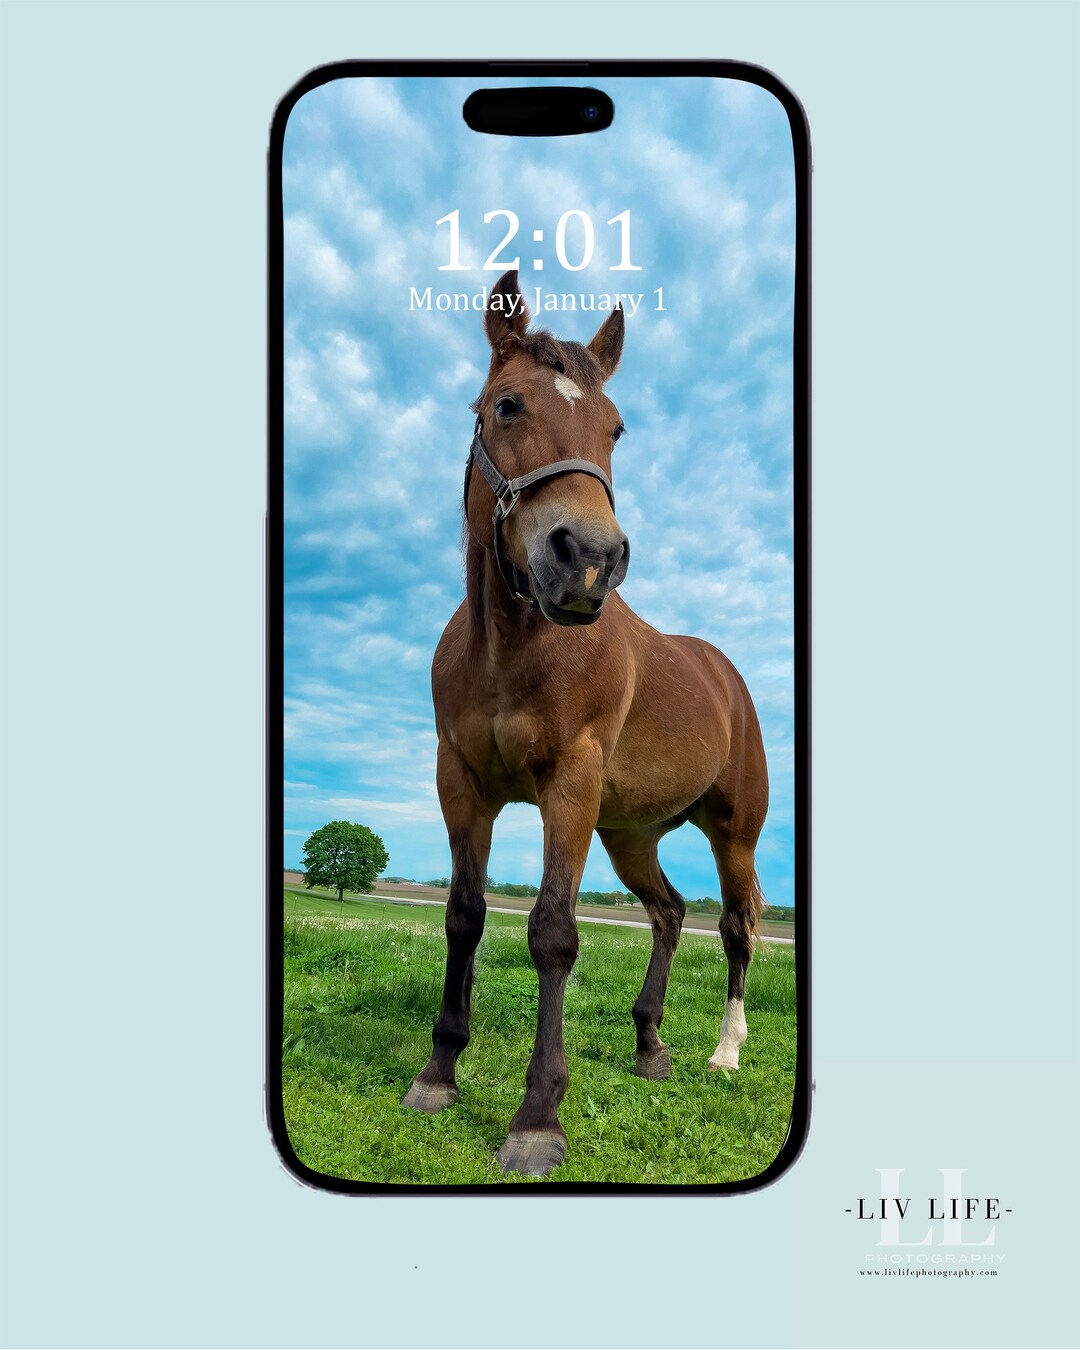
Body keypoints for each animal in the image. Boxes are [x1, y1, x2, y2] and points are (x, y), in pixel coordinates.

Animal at [402, 269, 769, 1178]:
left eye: (615, 427)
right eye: (506, 406)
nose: (591, 560)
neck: (512, 648)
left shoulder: (568, 787)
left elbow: (553, 934)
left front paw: (538, 1118)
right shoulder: (462, 786)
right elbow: (465, 916)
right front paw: (438, 1072)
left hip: (732, 833)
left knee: (737, 928)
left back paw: (724, 1051)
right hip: (630, 835)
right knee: (670, 912)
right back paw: (650, 1044)